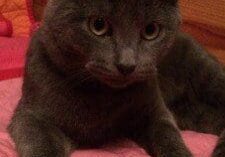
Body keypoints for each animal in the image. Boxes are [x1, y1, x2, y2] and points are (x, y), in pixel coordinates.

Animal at [7, 0, 225, 157]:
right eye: (98, 25)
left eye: (151, 30)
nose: (126, 65)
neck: (101, 97)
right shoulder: (31, 115)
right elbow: (39, 143)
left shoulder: (156, 112)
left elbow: (168, 137)